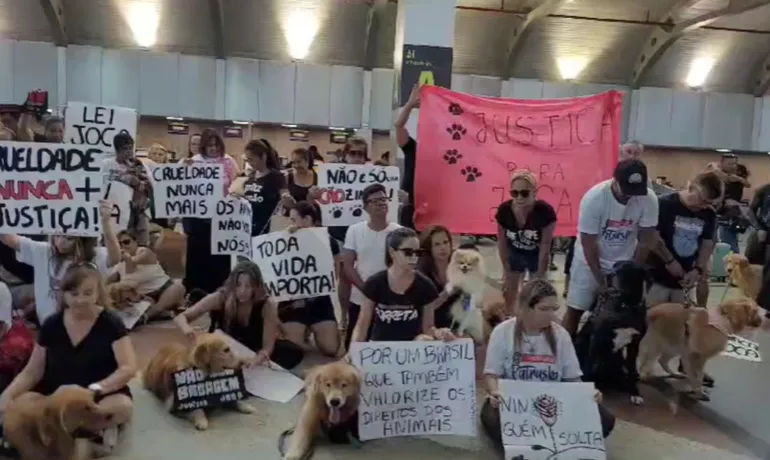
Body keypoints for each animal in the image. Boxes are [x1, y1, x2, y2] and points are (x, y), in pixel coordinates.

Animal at [572, 260, 644, 404]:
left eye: (625, 269)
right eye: (614, 266)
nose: (608, 275)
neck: (626, 306)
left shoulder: (634, 345)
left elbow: (632, 370)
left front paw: (635, 392)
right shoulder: (597, 338)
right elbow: (588, 367)